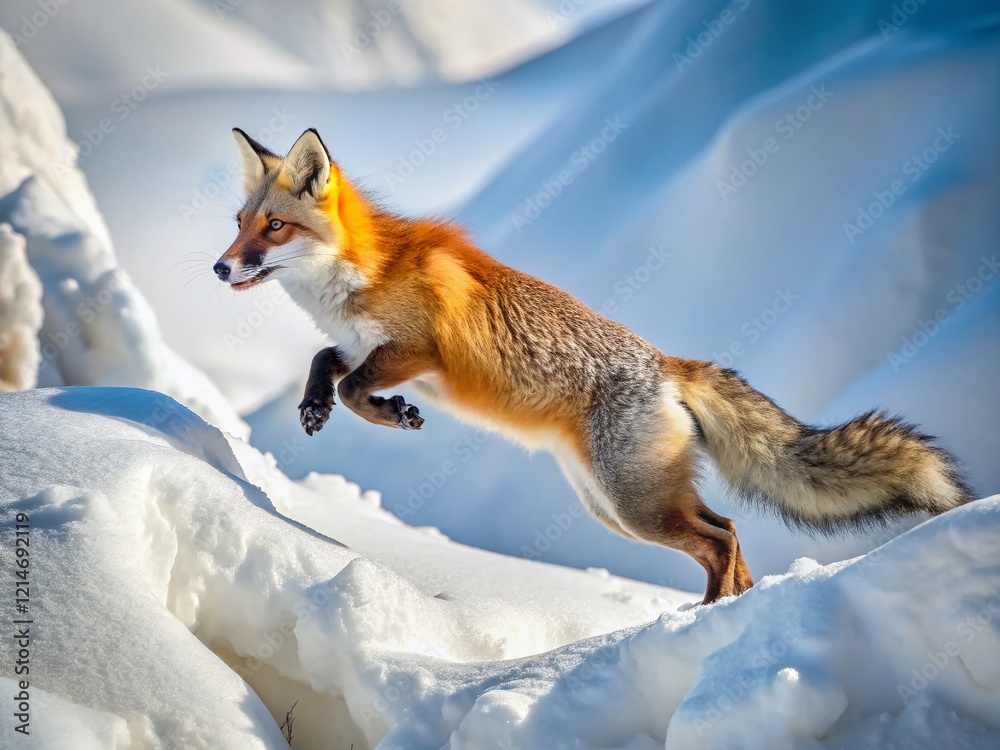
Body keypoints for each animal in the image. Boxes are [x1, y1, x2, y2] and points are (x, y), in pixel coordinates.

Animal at [213, 127, 974, 604]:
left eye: (274, 228)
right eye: (239, 223)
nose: (220, 267)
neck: (362, 273)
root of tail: (670, 363)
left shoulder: (420, 351)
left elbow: (356, 385)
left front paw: (389, 415)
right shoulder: (362, 344)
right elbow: (326, 361)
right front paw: (314, 405)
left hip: (635, 506)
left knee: (721, 537)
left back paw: (704, 617)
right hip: (617, 506)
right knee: (728, 534)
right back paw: (726, 610)